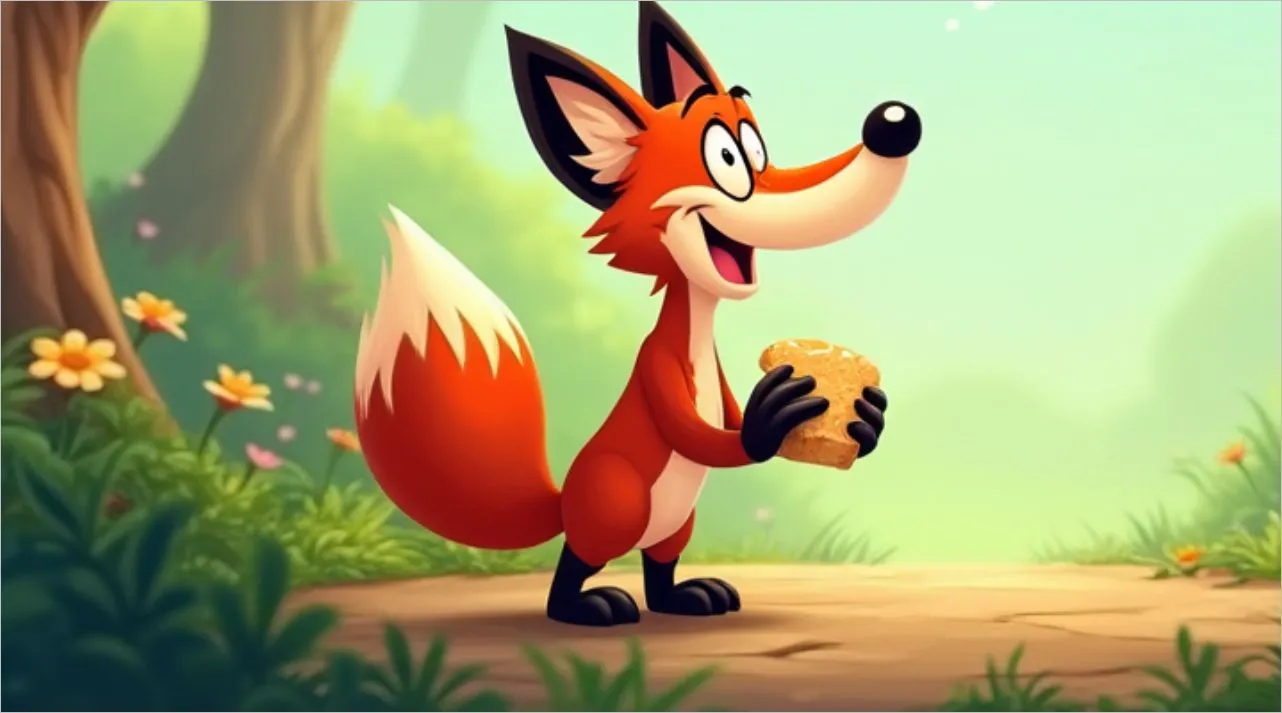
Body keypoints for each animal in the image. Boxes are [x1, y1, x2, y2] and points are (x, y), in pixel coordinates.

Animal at [354, 1, 920, 627]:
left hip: (678, 523)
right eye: (727, 159)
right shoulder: (658, 364)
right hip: (617, 499)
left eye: (759, 149)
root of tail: (564, 503)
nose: (894, 124)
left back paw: (686, 596)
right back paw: (586, 605)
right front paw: (770, 417)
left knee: (659, 565)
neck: (697, 325)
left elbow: (723, 420)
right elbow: (702, 434)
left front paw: (868, 417)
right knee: (577, 562)